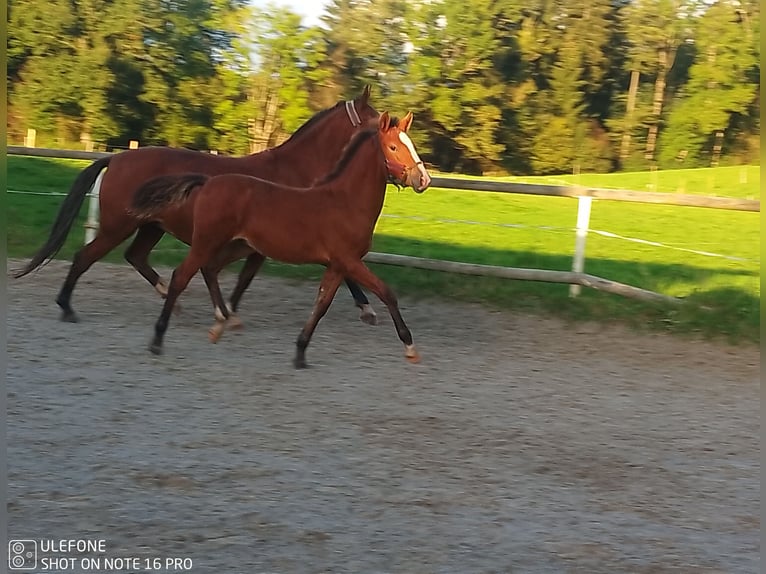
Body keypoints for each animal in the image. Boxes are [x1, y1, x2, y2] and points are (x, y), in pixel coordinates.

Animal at [18, 86, 388, 328]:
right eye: (377, 124)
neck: (296, 174)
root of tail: (117, 158)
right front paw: (367, 310)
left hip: (150, 227)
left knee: (136, 257)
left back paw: (173, 301)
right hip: (118, 226)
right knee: (85, 257)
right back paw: (67, 307)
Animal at [132, 112, 432, 368]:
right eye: (393, 147)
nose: (423, 179)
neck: (345, 201)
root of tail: (207, 182)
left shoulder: (337, 265)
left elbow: (321, 305)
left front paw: (300, 352)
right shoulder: (349, 260)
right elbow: (386, 292)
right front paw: (410, 347)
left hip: (237, 245)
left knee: (209, 269)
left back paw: (220, 324)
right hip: (207, 241)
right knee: (181, 276)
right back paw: (158, 339)